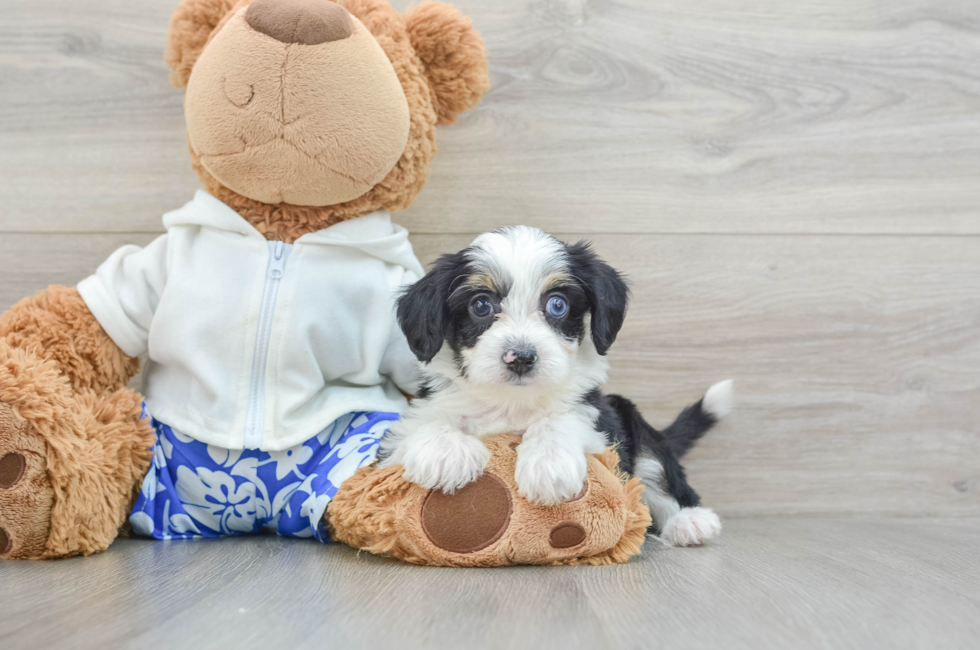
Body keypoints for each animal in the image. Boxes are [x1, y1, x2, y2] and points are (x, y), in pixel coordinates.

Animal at [378, 225, 732, 544]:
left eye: (557, 304)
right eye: (480, 305)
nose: (521, 357)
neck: (512, 401)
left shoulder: (599, 422)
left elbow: (559, 420)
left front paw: (549, 465)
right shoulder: (398, 440)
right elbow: (427, 423)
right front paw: (446, 453)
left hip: (632, 419)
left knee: (658, 475)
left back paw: (688, 520)